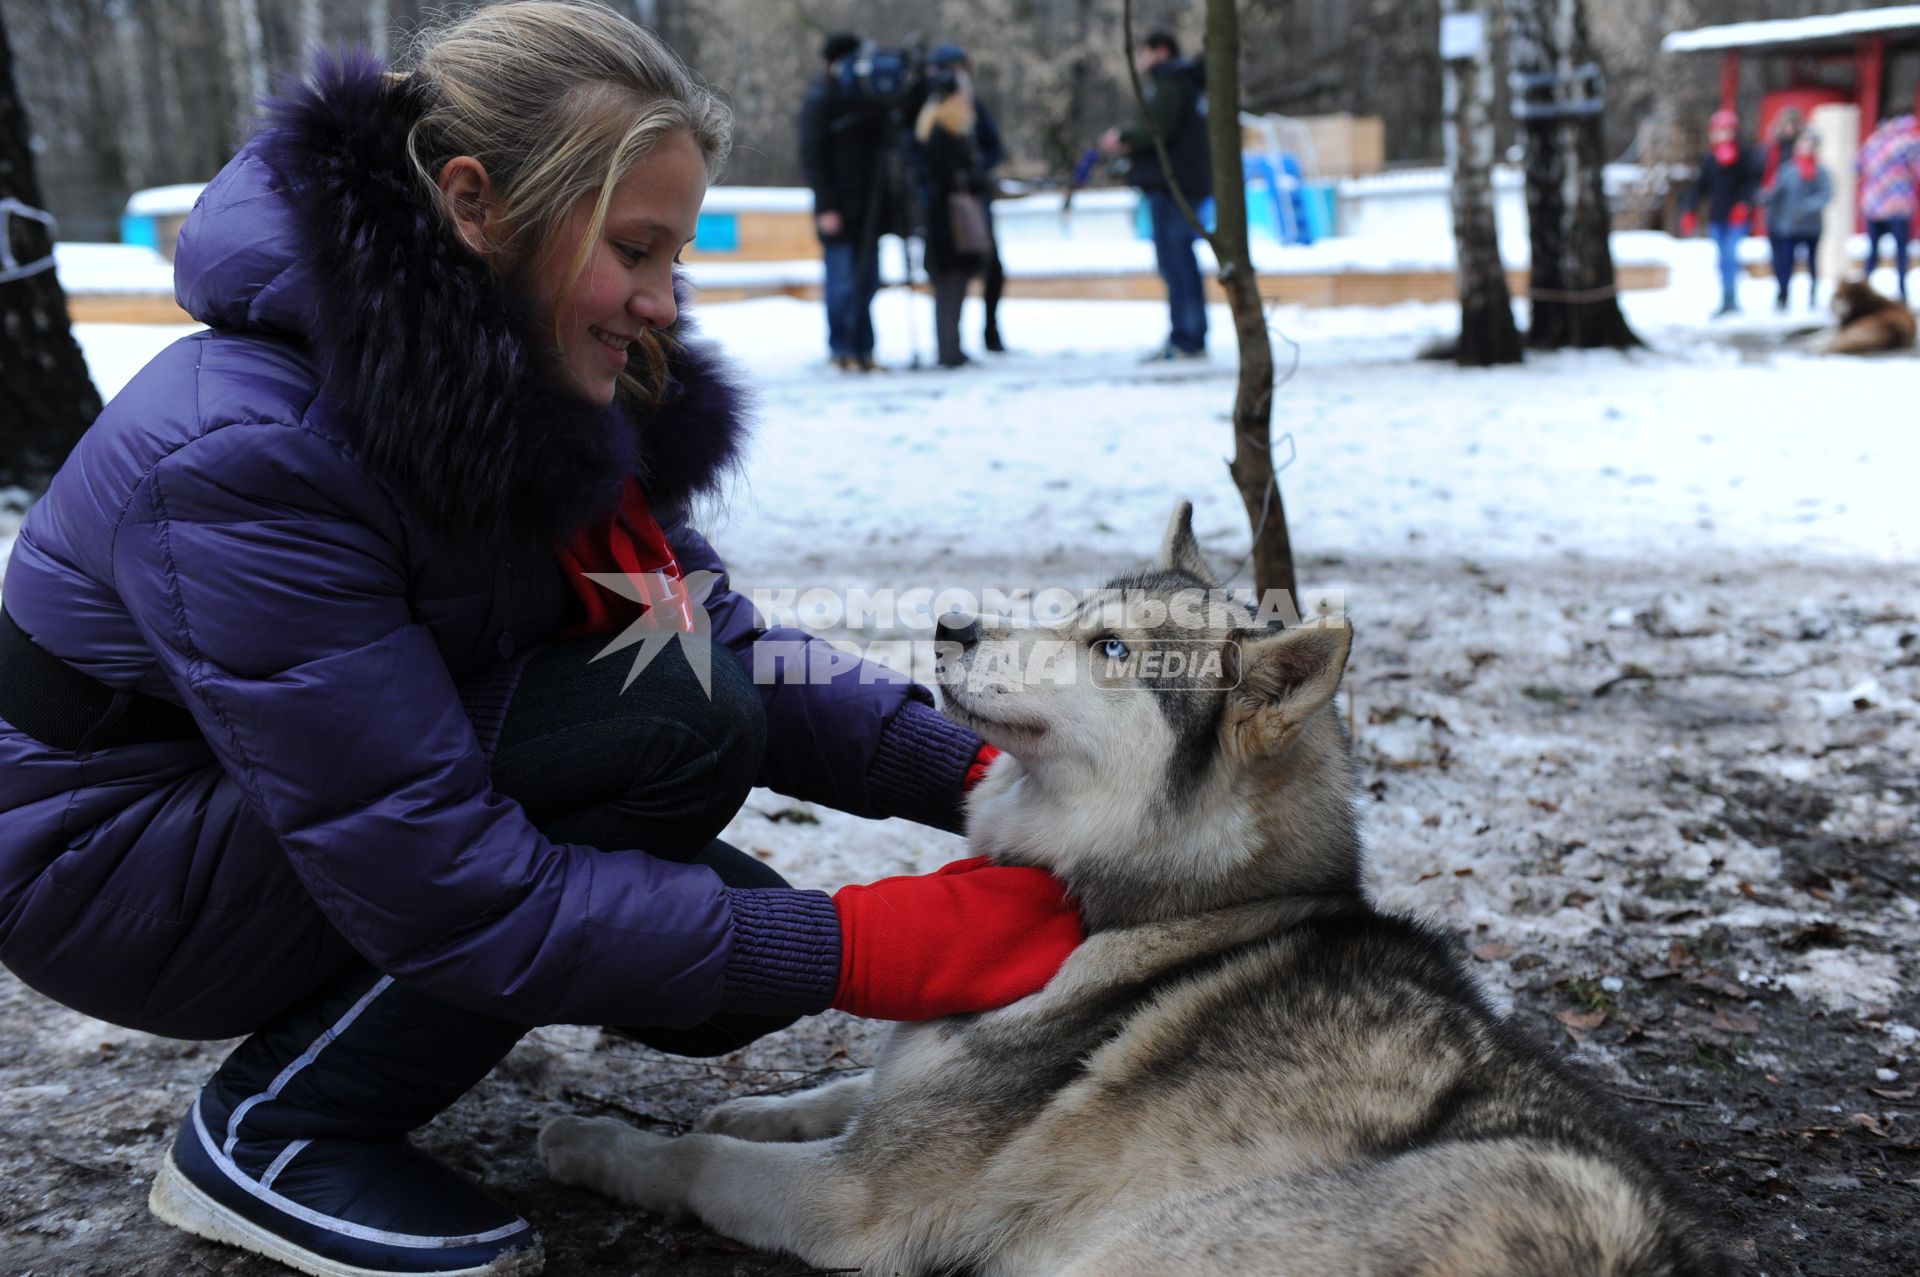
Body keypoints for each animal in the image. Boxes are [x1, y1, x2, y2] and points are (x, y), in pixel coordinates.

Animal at [541, 503, 1728, 1267]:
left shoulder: (856, 1199)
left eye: (1109, 648)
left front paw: (598, 1145)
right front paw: (764, 1101)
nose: (950, 624)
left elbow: (700, 1160)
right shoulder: (911, 1093)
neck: (1172, 901)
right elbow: (843, 1088)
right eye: (1073, 613)